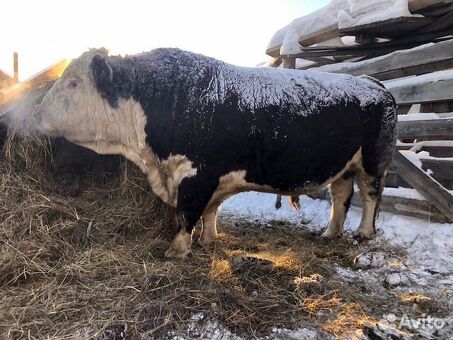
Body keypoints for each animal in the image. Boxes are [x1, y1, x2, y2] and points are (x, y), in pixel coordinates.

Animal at [32, 47, 396, 258]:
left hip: (374, 161)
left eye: (73, 83)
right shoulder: (210, 178)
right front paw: (208, 240)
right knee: (341, 197)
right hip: (345, 165)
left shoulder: (198, 174)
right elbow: (210, 212)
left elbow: (187, 214)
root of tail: (372, 83)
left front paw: (177, 250)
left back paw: (363, 234)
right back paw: (330, 233)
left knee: (370, 196)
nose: (38, 113)